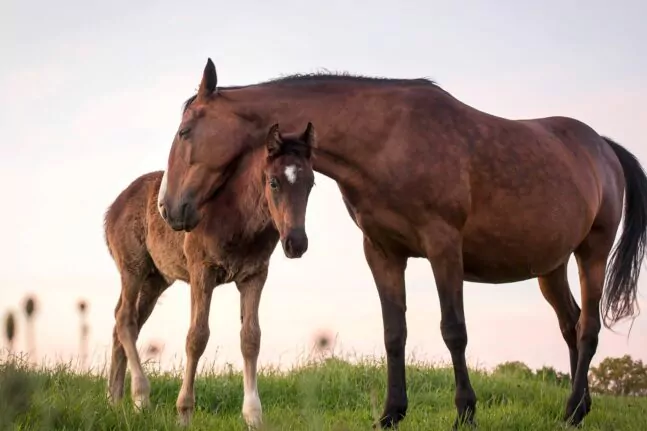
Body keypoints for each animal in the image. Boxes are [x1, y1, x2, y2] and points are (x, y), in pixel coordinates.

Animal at [104, 123, 318, 430]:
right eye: (274, 182)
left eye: (311, 183)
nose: (296, 243)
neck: (238, 215)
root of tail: (113, 208)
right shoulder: (201, 271)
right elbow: (197, 337)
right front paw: (184, 412)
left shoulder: (255, 275)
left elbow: (251, 338)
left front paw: (253, 416)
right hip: (133, 268)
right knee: (125, 320)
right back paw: (141, 397)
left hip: (156, 280)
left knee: (123, 321)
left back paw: (115, 400)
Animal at [158, 59, 647, 430]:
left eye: (184, 133)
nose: (169, 207)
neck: (388, 139)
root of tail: (603, 147)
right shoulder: (383, 252)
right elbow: (394, 332)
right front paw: (391, 413)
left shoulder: (444, 247)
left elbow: (454, 330)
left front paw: (465, 412)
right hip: (551, 267)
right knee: (570, 325)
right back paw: (579, 407)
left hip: (592, 254)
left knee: (588, 328)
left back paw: (572, 411)